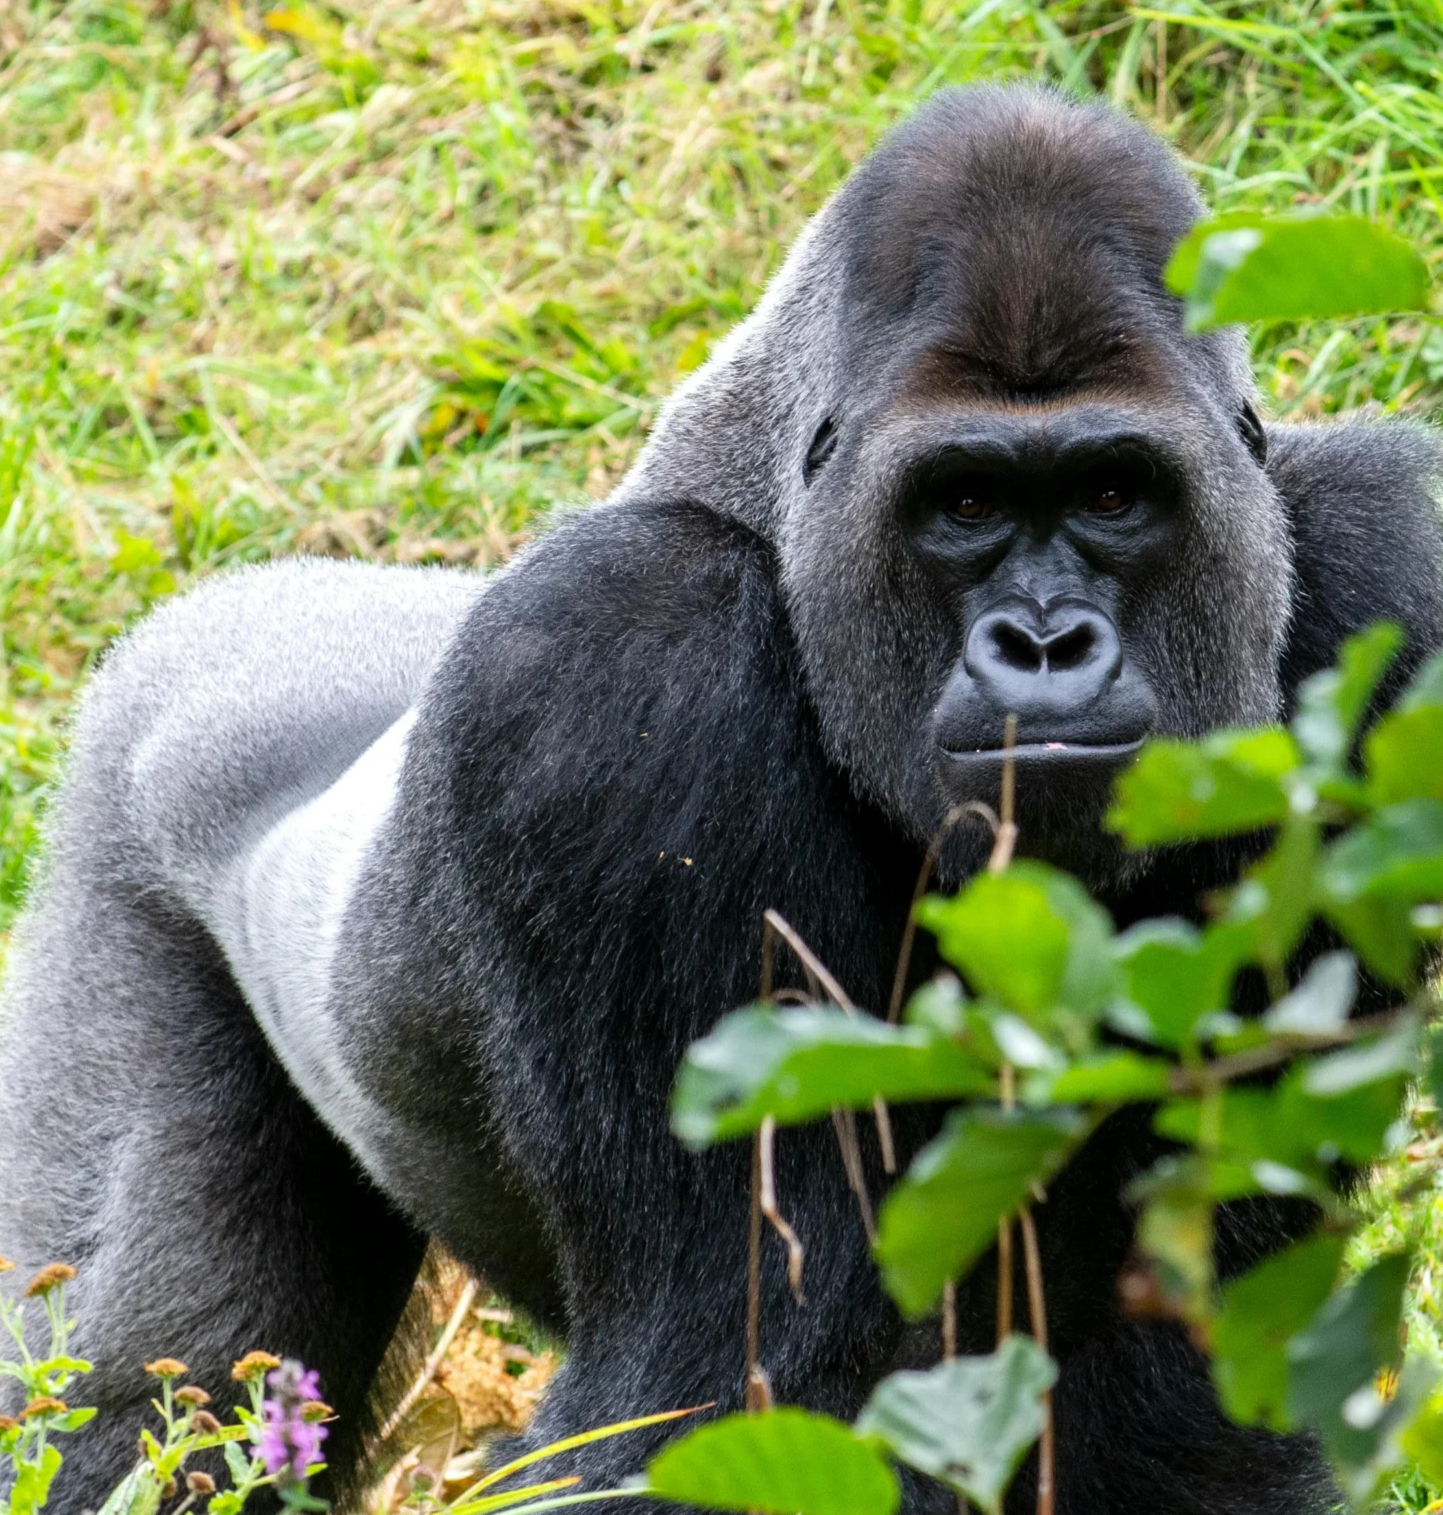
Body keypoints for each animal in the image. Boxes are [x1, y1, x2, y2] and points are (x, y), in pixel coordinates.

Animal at [3, 84, 1441, 1515]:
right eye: (964, 501)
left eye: (1110, 491)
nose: (1044, 642)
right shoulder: (621, 661)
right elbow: (720, 1379)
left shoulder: (1392, 569)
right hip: (121, 811)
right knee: (134, 1385)